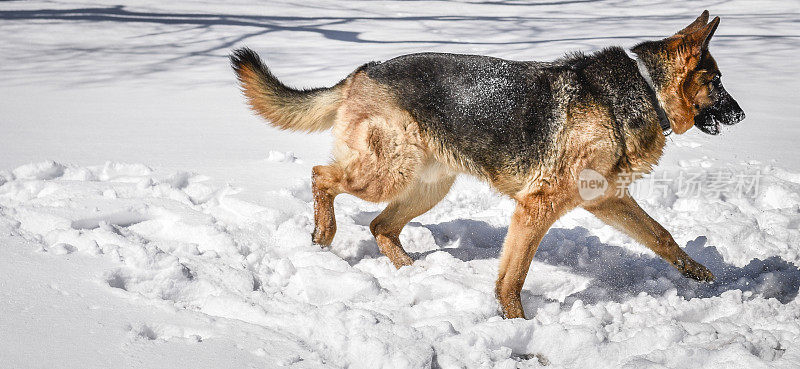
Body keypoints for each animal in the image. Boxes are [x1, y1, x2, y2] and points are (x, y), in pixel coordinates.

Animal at [231, 11, 744, 316]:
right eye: (716, 82)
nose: (741, 115)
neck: (645, 90)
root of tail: (363, 70)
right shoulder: (537, 207)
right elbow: (512, 276)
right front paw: (514, 322)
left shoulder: (606, 199)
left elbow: (662, 235)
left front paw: (698, 273)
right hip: (386, 173)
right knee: (322, 177)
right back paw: (323, 236)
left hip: (427, 187)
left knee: (380, 226)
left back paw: (413, 272)